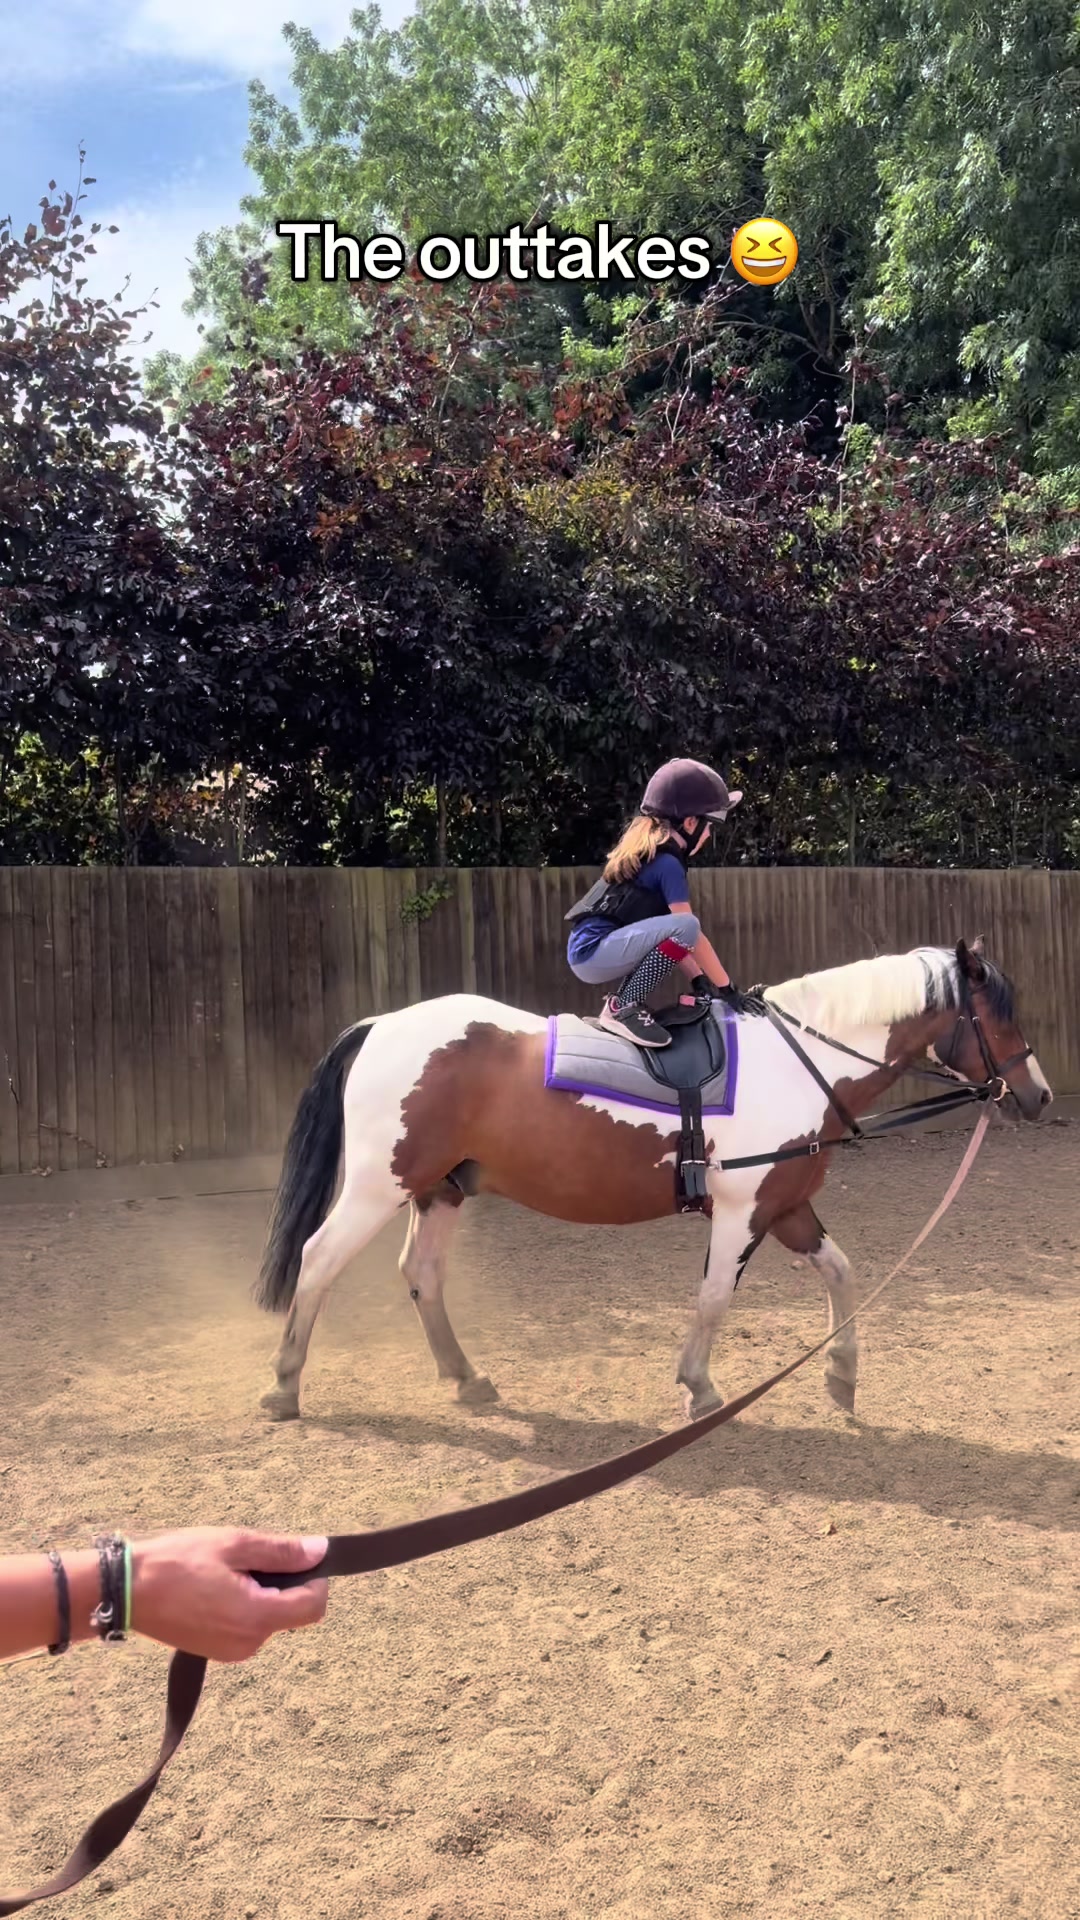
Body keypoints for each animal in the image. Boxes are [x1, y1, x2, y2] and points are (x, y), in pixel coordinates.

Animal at [254, 938, 1052, 1423]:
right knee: (318, 1259)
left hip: (441, 1189)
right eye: (998, 1019)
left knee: (421, 1274)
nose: (1038, 1095)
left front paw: (842, 1377)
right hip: (377, 1187)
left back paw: (466, 1379)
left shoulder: (786, 1206)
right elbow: (715, 1297)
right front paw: (700, 1388)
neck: (799, 1061)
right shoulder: (741, 1211)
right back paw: (285, 1385)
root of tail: (383, 1023)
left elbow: (843, 1272)